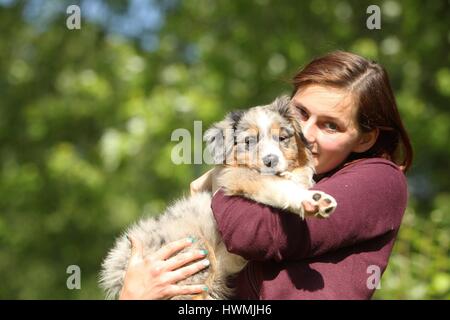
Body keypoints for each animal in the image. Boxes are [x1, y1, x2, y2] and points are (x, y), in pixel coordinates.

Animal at [100, 95, 336, 300]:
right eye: (249, 141)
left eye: (282, 138)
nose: (271, 160)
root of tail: (118, 269)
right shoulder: (235, 177)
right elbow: (275, 185)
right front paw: (313, 200)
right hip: (195, 264)